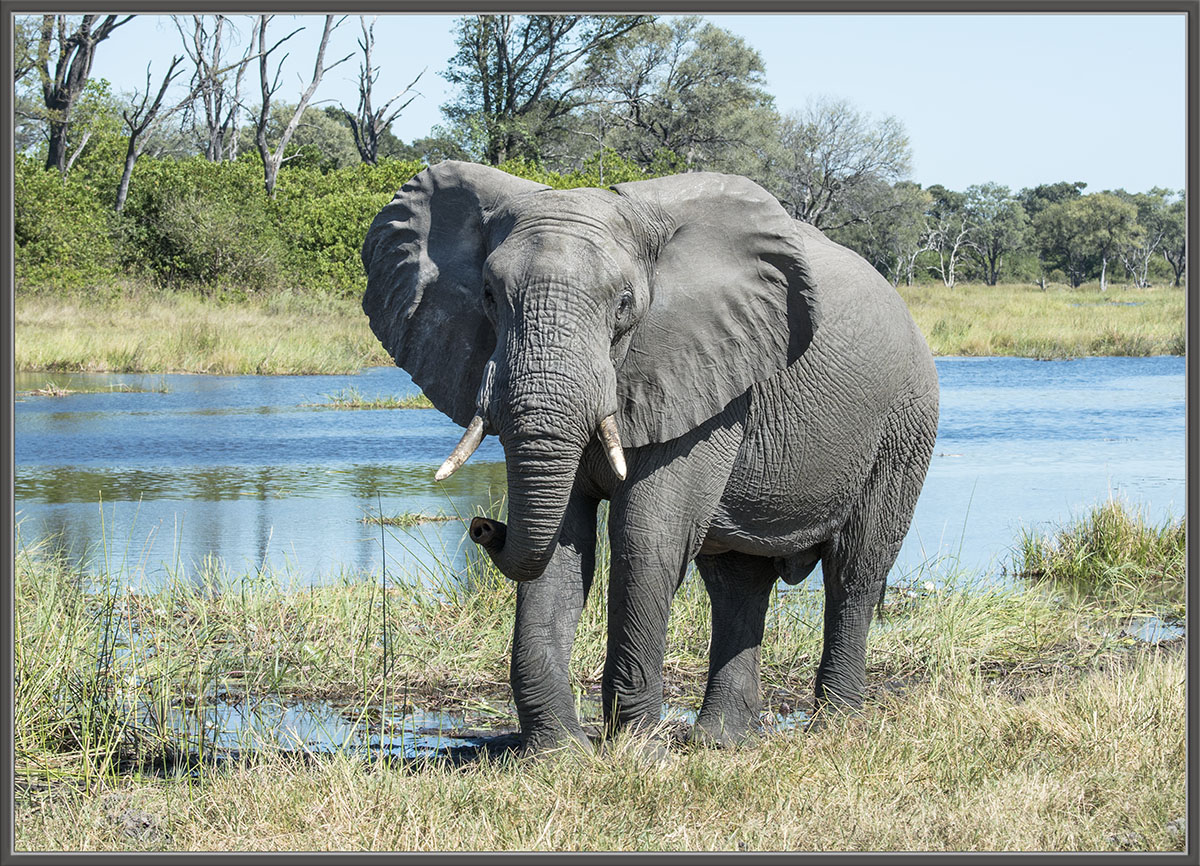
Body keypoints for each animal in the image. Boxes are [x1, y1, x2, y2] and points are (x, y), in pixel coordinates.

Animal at [361, 160, 939, 753]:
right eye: (488, 295)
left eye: (623, 304)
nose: (483, 526)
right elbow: (563, 542)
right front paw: (560, 754)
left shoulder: (705, 378)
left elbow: (645, 536)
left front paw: (635, 749)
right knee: (737, 582)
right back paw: (720, 743)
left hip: (903, 423)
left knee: (855, 568)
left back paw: (833, 729)